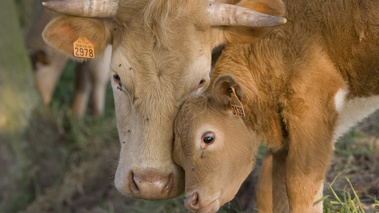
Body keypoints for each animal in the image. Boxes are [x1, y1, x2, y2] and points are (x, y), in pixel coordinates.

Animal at [173, 0, 379, 212]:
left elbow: (300, 186)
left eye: (207, 138)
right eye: (176, 155)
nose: (192, 200)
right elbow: (268, 189)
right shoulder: (284, 139)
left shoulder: (312, 113)